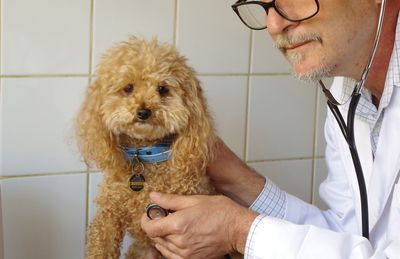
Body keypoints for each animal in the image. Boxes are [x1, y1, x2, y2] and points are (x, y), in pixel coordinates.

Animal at [76, 37, 217, 259]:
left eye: (162, 89)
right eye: (128, 88)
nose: (143, 112)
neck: (144, 154)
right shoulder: (108, 217)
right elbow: (101, 245)